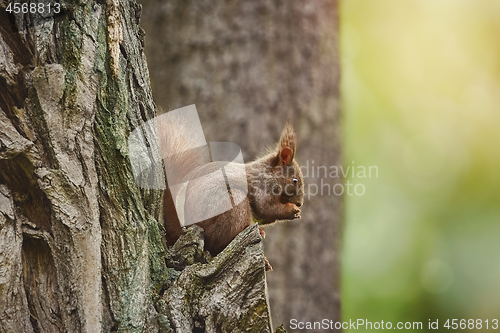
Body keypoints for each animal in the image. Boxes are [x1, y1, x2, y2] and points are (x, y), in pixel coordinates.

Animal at [161, 119, 304, 256]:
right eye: (295, 180)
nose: (300, 203)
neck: (268, 174)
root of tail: (190, 224)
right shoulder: (261, 187)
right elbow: (267, 208)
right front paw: (292, 210)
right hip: (233, 204)